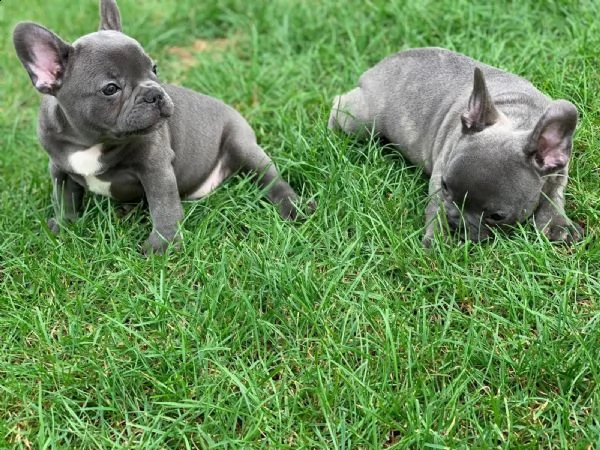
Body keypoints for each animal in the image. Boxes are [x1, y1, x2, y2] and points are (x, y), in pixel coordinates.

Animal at [14, 0, 310, 253]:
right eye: (110, 89)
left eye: (154, 68)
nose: (154, 93)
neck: (91, 141)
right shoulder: (59, 168)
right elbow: (64, 199)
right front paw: (63, 227)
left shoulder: (155, 167)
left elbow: (164, 207)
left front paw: (162, 246)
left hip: (242, 145)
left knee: (271, 179)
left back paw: (295, 207)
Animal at [330, 47, 584, 246]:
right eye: (445, 186)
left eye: (497, 216)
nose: (455, 222)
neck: (519, 119)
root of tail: (378, 65)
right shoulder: (440, 172)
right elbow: (435, 208)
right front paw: (436, 239)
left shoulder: (558, 173)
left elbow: (553, 197)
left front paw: (558, 224)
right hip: (361, 122)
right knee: (339, 103)